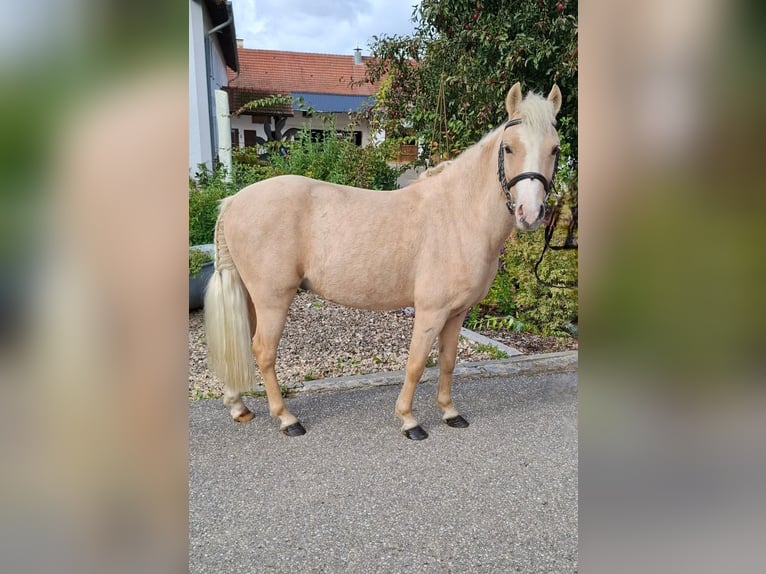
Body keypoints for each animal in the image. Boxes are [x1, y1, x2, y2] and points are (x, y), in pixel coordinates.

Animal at [206, 82, 564, 440]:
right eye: (508, 148)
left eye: (555, 149)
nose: (530, 214)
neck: (458, 214)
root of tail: (233, 201)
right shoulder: (431, 310)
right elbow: (417, 363)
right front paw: (409, 420)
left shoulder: (457, 312)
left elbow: (448, 361)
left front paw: (450, 412)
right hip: (273, 298)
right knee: (263, 351)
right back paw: (286, 418)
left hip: (252, 296)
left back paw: (239, 406)